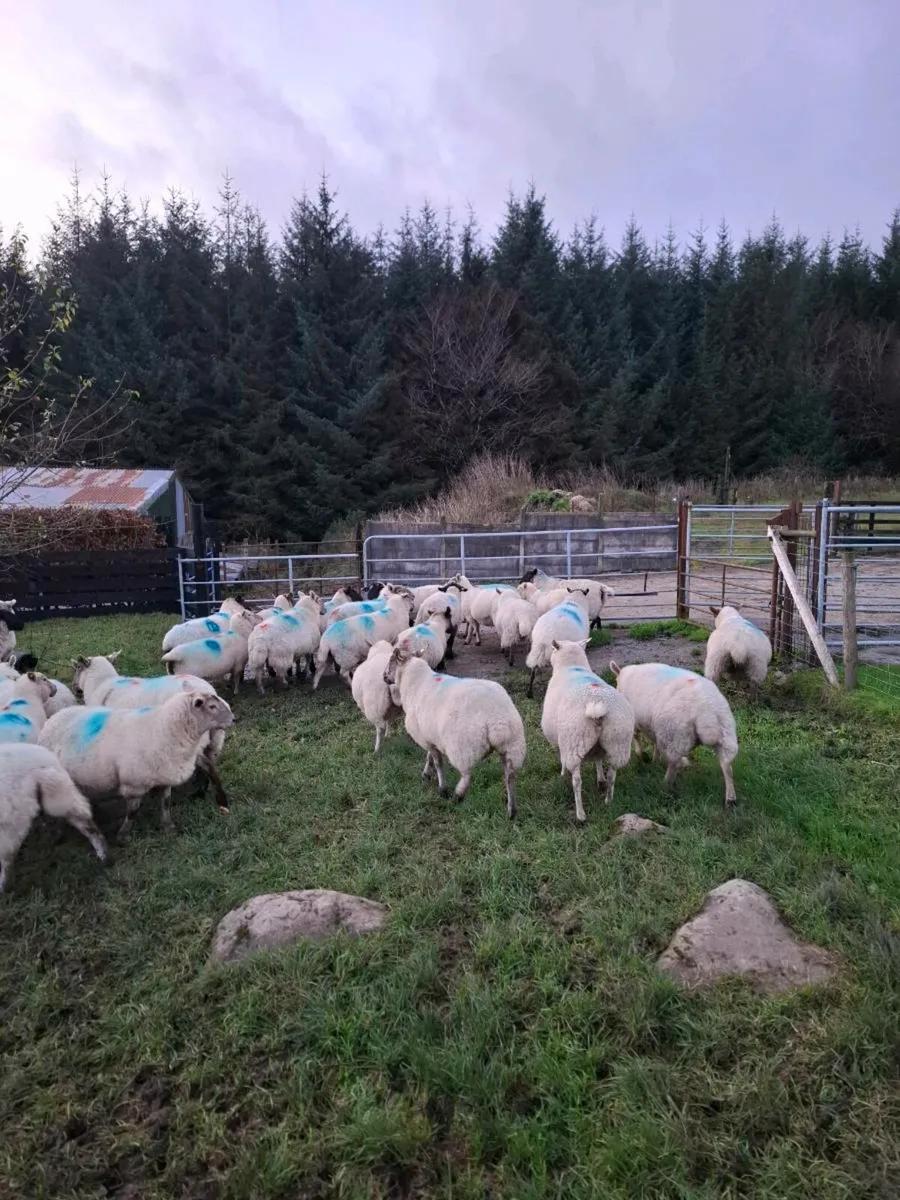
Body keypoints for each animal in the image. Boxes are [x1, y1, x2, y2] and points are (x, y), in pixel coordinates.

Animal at [40, 691, 235, 836]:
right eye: (212, 706)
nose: (234, 719)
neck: (163, 728)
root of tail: (53, 718)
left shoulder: (166, 775)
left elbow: (166, 802)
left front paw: (168, 826)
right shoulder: (133, 784)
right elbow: (133, 811)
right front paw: (123, 834)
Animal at [383, 645, 525, 818]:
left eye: (391, 660)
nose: (384, 676)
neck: (413, 683)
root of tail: (497, 719)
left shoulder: (424, 736)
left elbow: (438, 762)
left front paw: (441, 788)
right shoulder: (430, 735)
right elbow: (430, 756)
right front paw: (426, 773)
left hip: (463, 748)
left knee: (467, 776)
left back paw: (456, 796)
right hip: (513, 746)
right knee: (510, 776)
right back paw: (512, 810)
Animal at [541, 640, 634, 821]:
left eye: (553, 649)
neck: (572, 666)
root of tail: (597, 704)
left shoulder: (562, 740)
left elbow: (561, 758)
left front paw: (562, 772)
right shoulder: (597, 747)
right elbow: (598, 760)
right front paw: (600, 779)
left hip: (574, 741)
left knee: (577, 781)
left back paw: (580, 814)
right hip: (617, 741)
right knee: (612, 775)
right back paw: (608, 801)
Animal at [610, 661, 738, 808]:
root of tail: (706, 712)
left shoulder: (636, 721)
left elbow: (637, 738)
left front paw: (642, 756)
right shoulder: (653, 727)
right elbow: (655, 744)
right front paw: (654, 759)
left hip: (675, 735)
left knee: (674, 763)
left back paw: (665, 784)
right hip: (726, 734)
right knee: (727, 766)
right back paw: (730, 799)